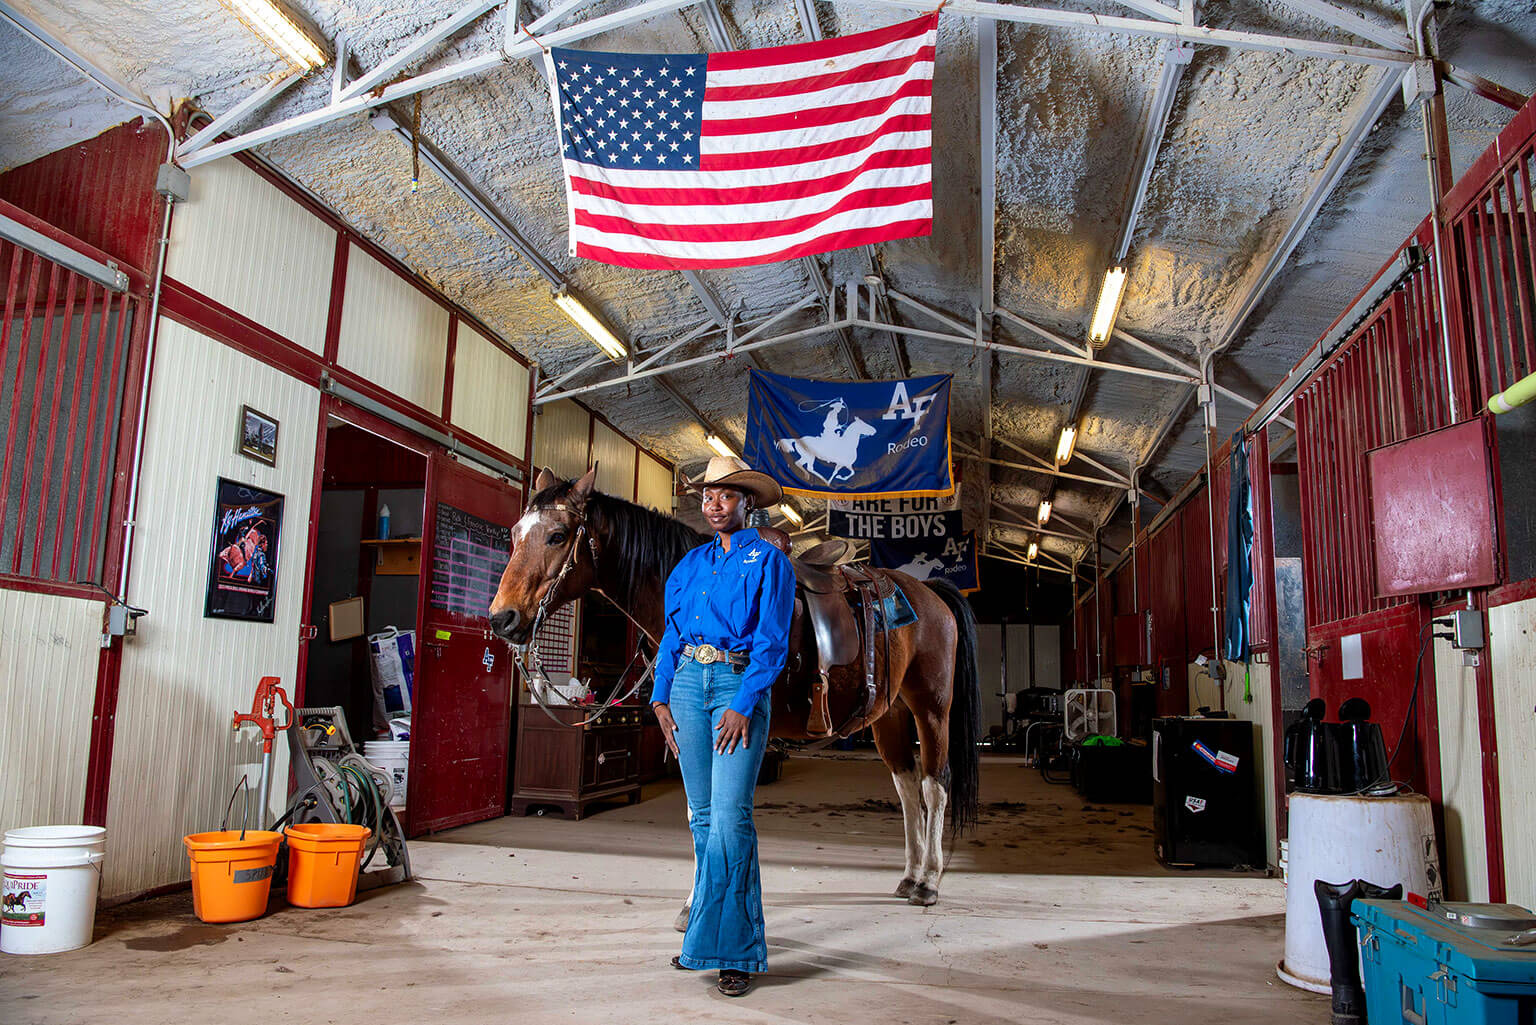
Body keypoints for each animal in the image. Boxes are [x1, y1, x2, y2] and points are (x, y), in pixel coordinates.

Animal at [485, 470, 976, 909]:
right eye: (514, 533)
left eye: (558, 535)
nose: (502, 619)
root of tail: (928, 592)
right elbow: (697, 810)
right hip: (890, 714)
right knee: (907, 786)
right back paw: (909, 876)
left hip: (931, 708)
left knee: (935, 784)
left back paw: (928, 882)